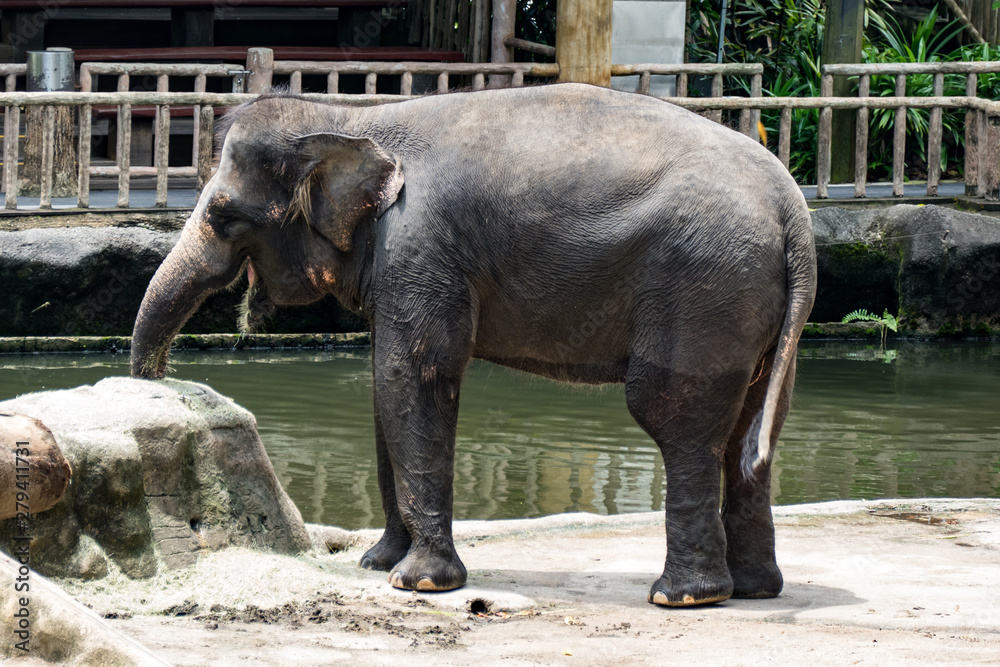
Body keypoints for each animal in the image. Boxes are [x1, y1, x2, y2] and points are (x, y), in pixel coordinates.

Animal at [131, 83, 816, 607]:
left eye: (225, 217)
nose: (158, 378)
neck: (351, 120)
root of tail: (794, 212)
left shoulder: (422, 244)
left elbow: (411, 380)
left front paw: (418, 584)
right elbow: (383, 390)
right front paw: (378, 564)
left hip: (701, 289)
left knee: (678, 421)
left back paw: (683, 597)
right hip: (749, 304)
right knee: (752, 430)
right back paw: (754, 589)